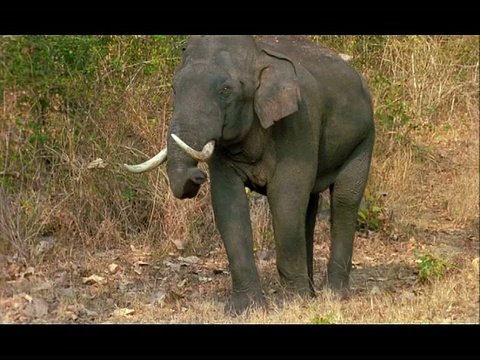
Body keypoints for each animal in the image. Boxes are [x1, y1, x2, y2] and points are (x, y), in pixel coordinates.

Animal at [124, 34, 376, 316]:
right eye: (174, 88)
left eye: (225, 90)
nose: (197, 176)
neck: (258, 56)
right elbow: (228, 205)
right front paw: (244, 309)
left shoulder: (299, 124)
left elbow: (286, 200)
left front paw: (293, 303)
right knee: (310, 207)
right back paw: (312, 293)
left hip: (364, 137)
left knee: (345, 199)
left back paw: (333, 294)